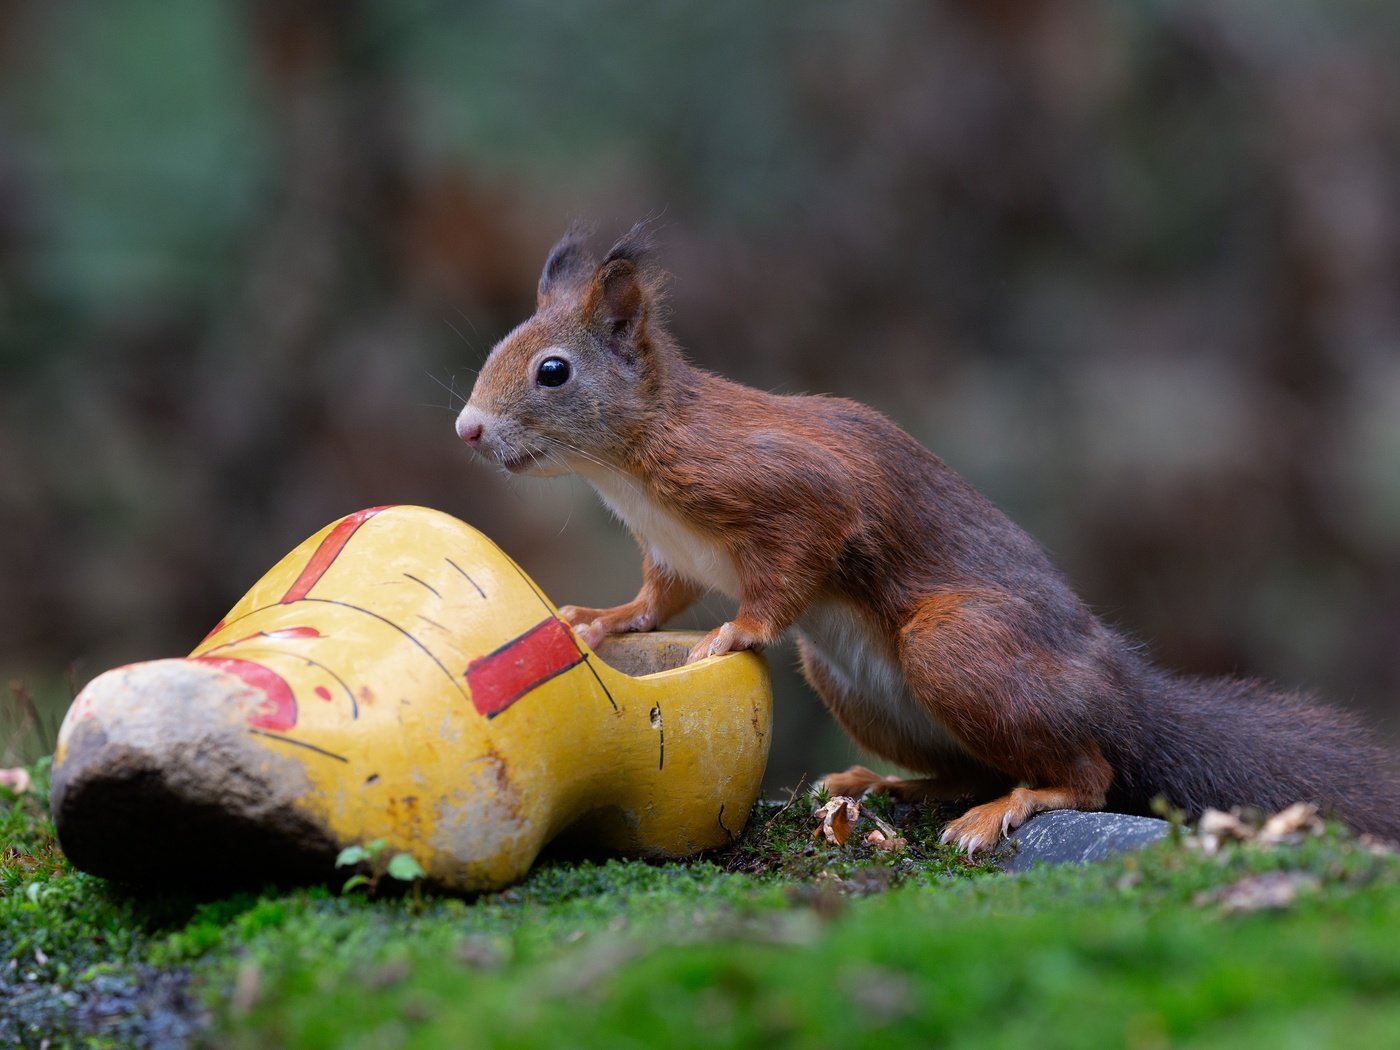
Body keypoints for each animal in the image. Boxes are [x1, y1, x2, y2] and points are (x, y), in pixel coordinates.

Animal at [456, 222, 1400, 856]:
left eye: (552, 372)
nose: (467, 431)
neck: (632, 463)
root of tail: (1121, 693)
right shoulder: (671, 555)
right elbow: (655, 601)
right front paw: (601, 619)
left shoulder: (790, 491)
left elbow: (787, 572)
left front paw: (736, 632)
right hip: (860, 685)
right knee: (975, 765)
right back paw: (883, 783)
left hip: (959, 645)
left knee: (1085, 773)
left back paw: (1007, 808)